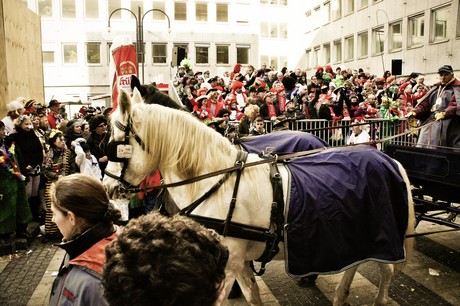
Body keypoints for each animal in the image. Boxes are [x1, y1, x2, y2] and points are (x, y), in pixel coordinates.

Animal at [104, 89, 416, 306]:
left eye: (115, 144)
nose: (107, 187)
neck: (215, 182)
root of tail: (386, 158)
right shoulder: (238, 263)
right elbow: (253, 296)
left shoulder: (225, 266)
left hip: (385, 237)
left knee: (388, 273)